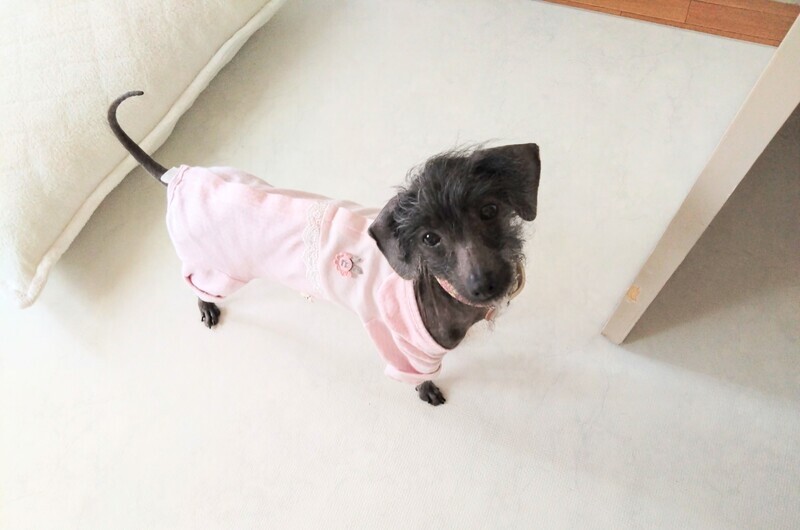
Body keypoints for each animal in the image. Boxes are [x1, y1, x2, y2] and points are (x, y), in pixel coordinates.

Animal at [108, 91, 541, 406]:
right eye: (429, 238)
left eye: (489, 210)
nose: (487, 285)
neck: (438, 289)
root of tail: (180, 176)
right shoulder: (404, 351)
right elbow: (417, 378)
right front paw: (428, 392)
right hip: (219, 269)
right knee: (194, 283)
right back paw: (207, 308)